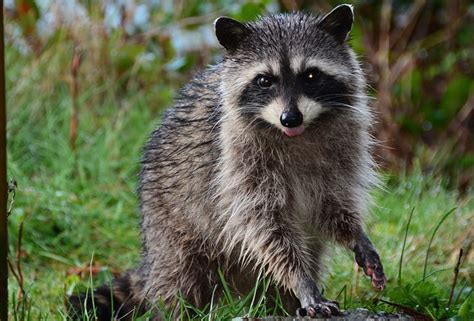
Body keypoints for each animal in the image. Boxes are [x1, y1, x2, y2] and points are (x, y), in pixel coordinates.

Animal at [69, 3, 386, 318]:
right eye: (264, 80)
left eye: (310, 75)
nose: (290, 118)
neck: (298, 134)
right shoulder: (237, 163)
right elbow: (266, 227)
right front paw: (302, 281)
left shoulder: (343, 149)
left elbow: (333, 204)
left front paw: (356, 235)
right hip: (170, 228)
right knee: (178, 281)